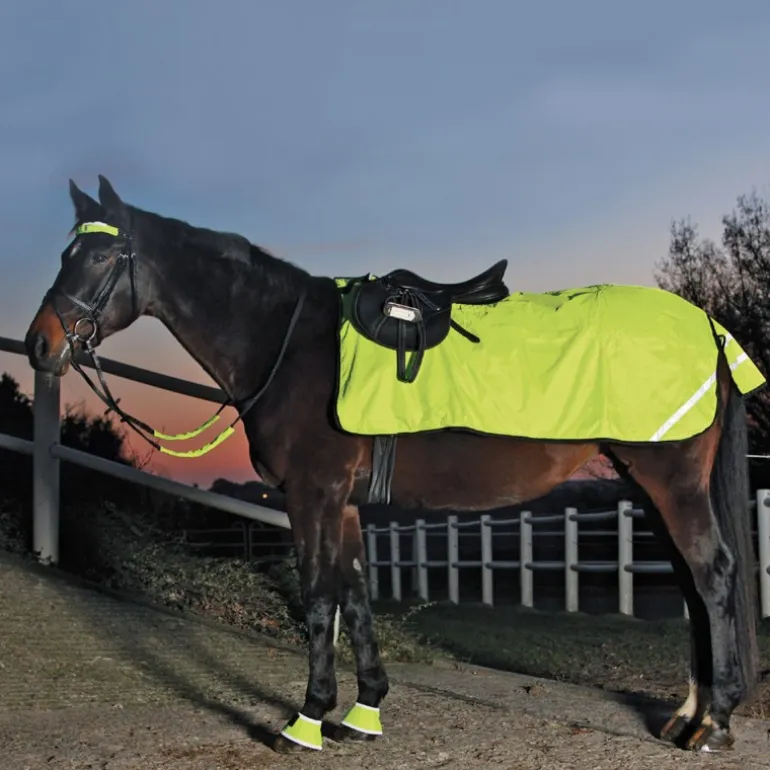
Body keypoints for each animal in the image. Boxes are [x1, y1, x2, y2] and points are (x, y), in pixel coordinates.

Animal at [24, 175, 761, 755]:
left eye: (99, 255)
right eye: (66, 253)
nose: (39, 344)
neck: (290, 343)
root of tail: (708, 327)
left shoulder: (312, 495)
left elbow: (319, 594)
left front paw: (306, 720)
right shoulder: (344, 503)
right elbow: (355, 592)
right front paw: (363, 711)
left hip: (671, 483)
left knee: (713, 576)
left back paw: (714, 725)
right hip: (650, 486)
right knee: (692, 586)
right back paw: (687, 715)